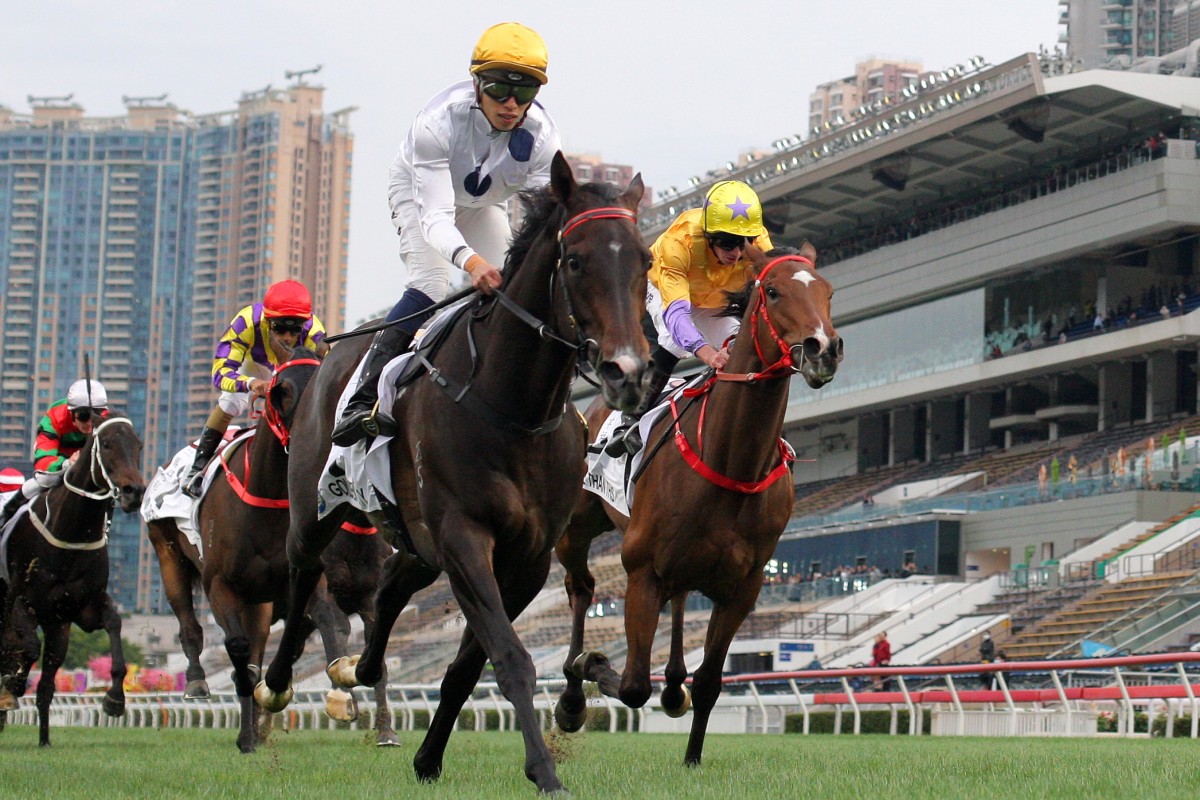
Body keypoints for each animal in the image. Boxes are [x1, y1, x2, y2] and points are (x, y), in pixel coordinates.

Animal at [0, 417, 145, 748]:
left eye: (139, 445)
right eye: (107, 444)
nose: (134, 491)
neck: (69, 534)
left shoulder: (77, 610)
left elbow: (114, 623)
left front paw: (115, 699)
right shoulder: (20, 602)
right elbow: (29, 647)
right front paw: (14, 685)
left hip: (58, 629)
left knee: (46, 686)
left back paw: (44, 740)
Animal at [554, 245, 844, 767]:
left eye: (828, 292)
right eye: (774, 292)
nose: (823, 349)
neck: (731, 458)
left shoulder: (743, 589)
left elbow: (709, 682)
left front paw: (691, 758)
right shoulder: (641, 571)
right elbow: (632, 685)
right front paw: (593, 665)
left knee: (679, 598)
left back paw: (672, 686)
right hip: (576, 531)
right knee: (581, 589)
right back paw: (572, 691)